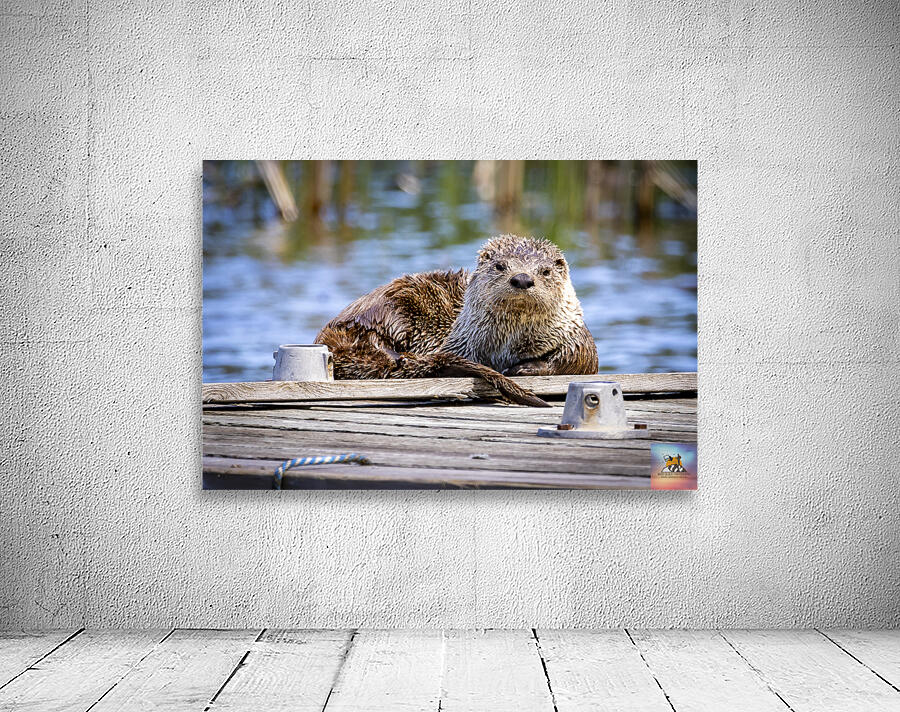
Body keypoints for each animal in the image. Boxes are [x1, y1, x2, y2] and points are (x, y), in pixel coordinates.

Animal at [314, 234, 599, 406]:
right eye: (500, 266)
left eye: (545, 271)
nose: (522, 278)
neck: (511, 345)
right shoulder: (462, 342)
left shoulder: (574, 333)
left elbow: (579, 358)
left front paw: (525, 368)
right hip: (391, 308)